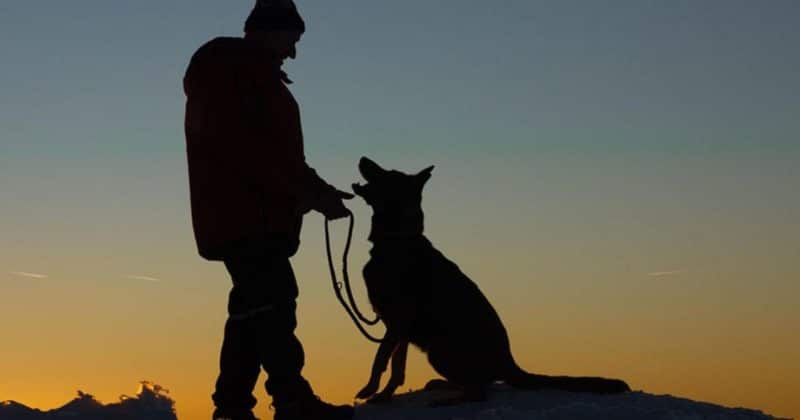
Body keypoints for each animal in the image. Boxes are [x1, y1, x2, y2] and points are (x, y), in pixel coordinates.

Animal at [354, 157, 628, 404]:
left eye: (387, 174)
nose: (363, 158)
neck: (397, 240)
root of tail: (509, 363)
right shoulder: (400, 328)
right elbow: (396, 366)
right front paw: (384, 395)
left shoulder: (397, 321)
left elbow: (381, 358)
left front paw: (369, 389)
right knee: (478, 383)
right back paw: (441, 385)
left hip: (439, 351)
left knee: (479, 391)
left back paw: (449, 398)